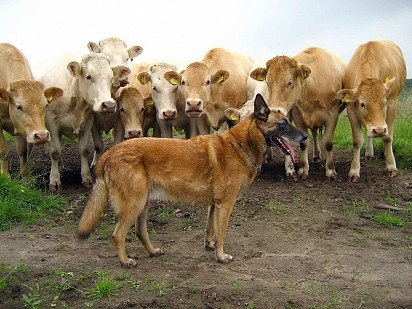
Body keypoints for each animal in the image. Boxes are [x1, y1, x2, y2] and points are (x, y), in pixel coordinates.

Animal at [78, 94, 306, 264]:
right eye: (284, 124)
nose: (305, 137)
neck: (241, 145)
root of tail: (110, 153)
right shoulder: (225, 205)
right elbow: (222, 232)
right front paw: (221, 256)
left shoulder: (215, 205)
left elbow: (210, 228)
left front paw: (210, 247)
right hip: (133, 204)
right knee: (118, 234)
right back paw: (125, 261)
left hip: (142, 204)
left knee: (140, 231)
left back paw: (152, 252)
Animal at [249, 47, 346, 179]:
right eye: (268, 83)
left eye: (289, 83)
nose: (274, 110)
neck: (313, 87)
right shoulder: (298, 115)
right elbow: (304, 143)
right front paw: (303, 169)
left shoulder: (333, 114)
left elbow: (328, 143)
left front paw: (330, 170)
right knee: (315, 134)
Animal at [336, 40, 408, 180]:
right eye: (362, 104)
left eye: (384, 102)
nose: (379, 130)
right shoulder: (351, 108)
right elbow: (357, 141)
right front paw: (354, 170)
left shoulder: (392, 104)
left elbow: (388, 138)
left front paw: (391, 166)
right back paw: (369, 152)